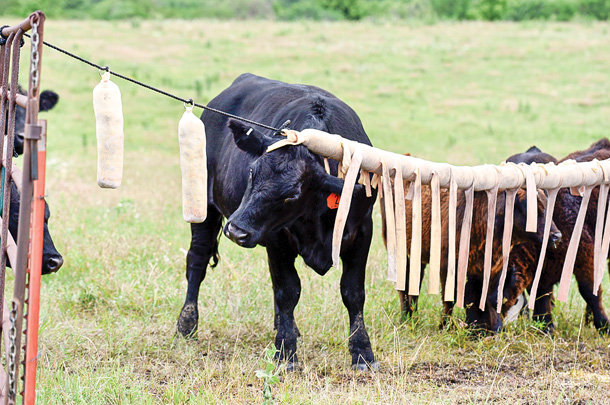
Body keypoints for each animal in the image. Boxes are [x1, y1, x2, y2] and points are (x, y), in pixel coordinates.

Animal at [173, 73, 378, 370]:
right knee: (197, 260)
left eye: (292, 194)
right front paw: (286, 353)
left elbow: (353, 293)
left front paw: (362, 353)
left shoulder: (362, 231)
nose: (236, 230)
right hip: (204, 206)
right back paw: (186, 325)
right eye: (251, 171)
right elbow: (288, 291)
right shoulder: (276, 238)